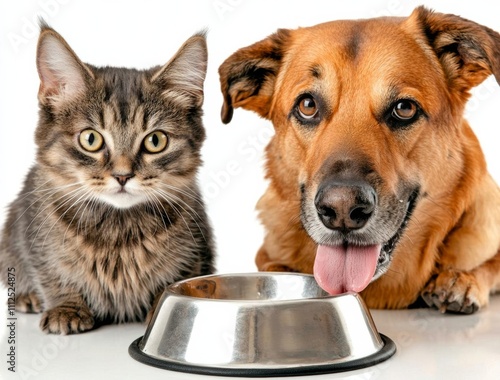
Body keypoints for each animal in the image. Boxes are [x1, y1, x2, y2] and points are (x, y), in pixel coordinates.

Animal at [0, 23, 213, 332]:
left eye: (156, 141)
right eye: (90, 139)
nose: (123, 175)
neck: (117, 232)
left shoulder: (197, 245)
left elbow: (179, 278)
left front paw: (159, 308)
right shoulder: (34, 236)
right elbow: (53, 274)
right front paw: (66, 307)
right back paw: (28, 297)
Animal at [221, 6, 500, 314]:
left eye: (405, 108)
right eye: (307, 105)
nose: (341, 209)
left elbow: (491, 264)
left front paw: (460, 279)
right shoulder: (266, 251)